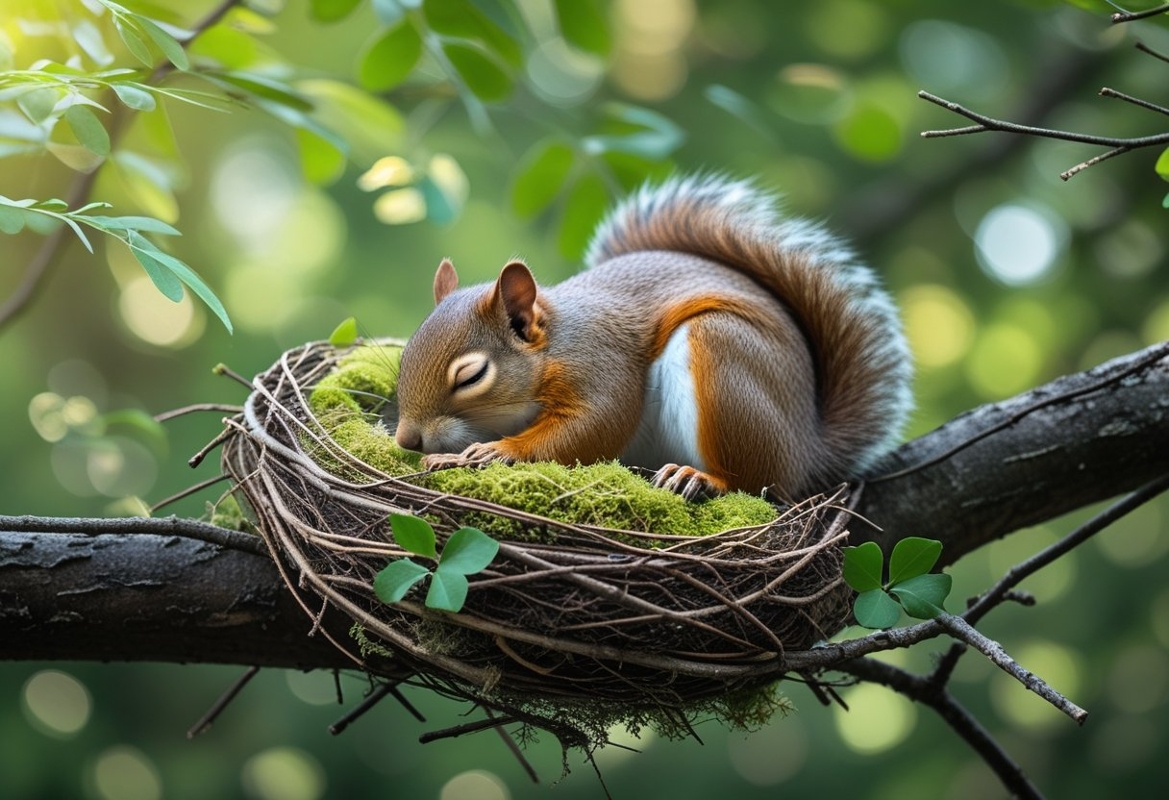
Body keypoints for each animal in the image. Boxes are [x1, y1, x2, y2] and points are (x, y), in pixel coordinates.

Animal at [393, 174, 912, 500]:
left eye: (472, 376)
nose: (407, 440)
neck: (554, 344)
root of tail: (808, 452)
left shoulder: (600, 362)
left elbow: (596, 424)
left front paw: (498, 451)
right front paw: (445, 458)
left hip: (724, 361)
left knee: (759, 483)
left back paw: (701, 478)